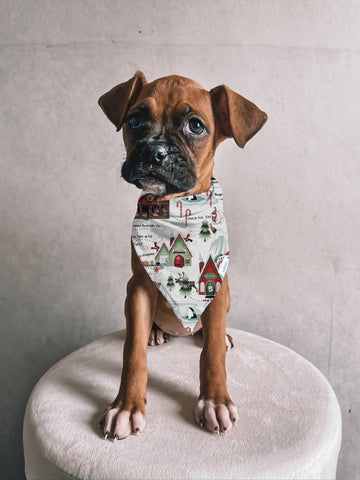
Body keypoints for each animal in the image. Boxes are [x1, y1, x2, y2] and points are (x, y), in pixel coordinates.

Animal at [98, 71, 268, 438]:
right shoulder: (138, 289)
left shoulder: (217, 288)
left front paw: (215, 401)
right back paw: (156, 332)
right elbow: (132, 352)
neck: (174, 208)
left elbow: (213, 353)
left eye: (195, 126)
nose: (154, 151)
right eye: (134, 120)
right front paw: (126, 406)